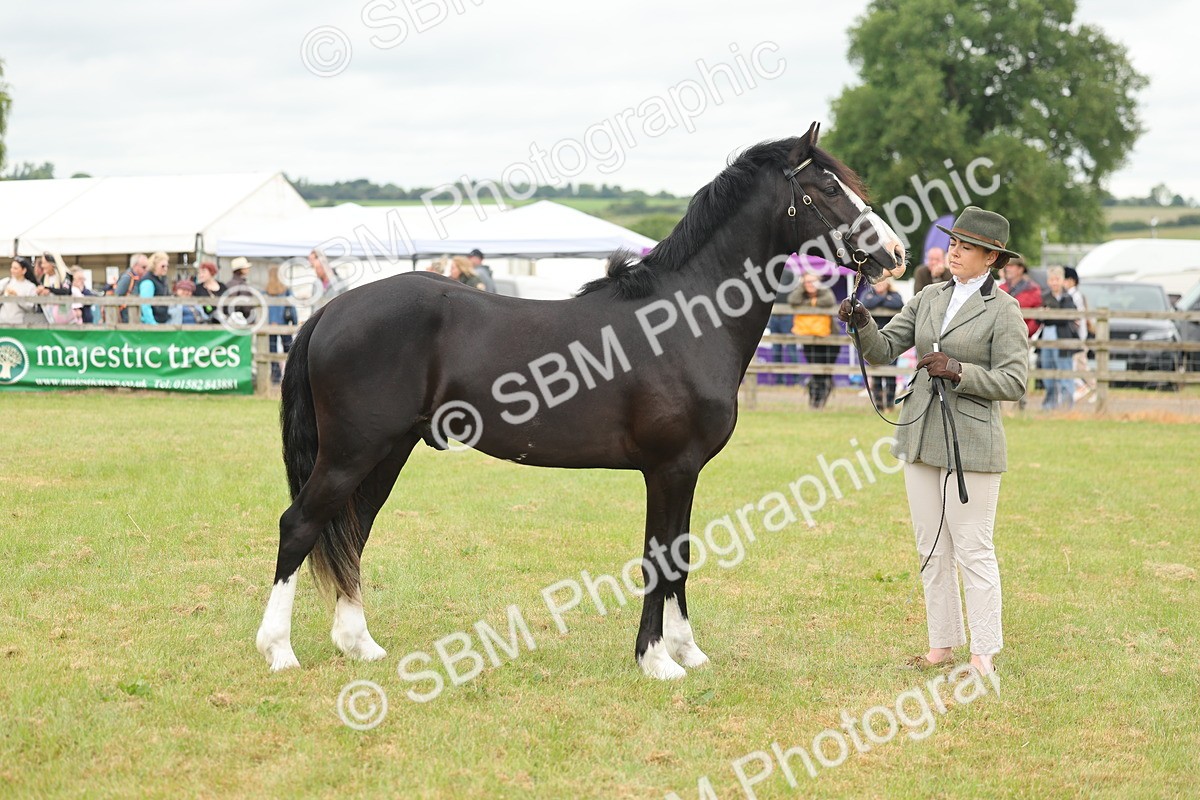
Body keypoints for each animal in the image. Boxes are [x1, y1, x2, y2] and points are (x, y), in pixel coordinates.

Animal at [256, 121, 905, 679]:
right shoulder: (669, 469)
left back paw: (358, 644)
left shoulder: (686, 471)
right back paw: (280, 651)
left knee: (352, 529)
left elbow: (681, 555)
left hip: (387, 451)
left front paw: (687, 652)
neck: (683, 320)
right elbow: (659, 558)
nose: (895, 254)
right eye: (827, 187)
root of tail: (330, 310)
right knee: (299, 524)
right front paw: (657, 660)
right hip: (351, 452)